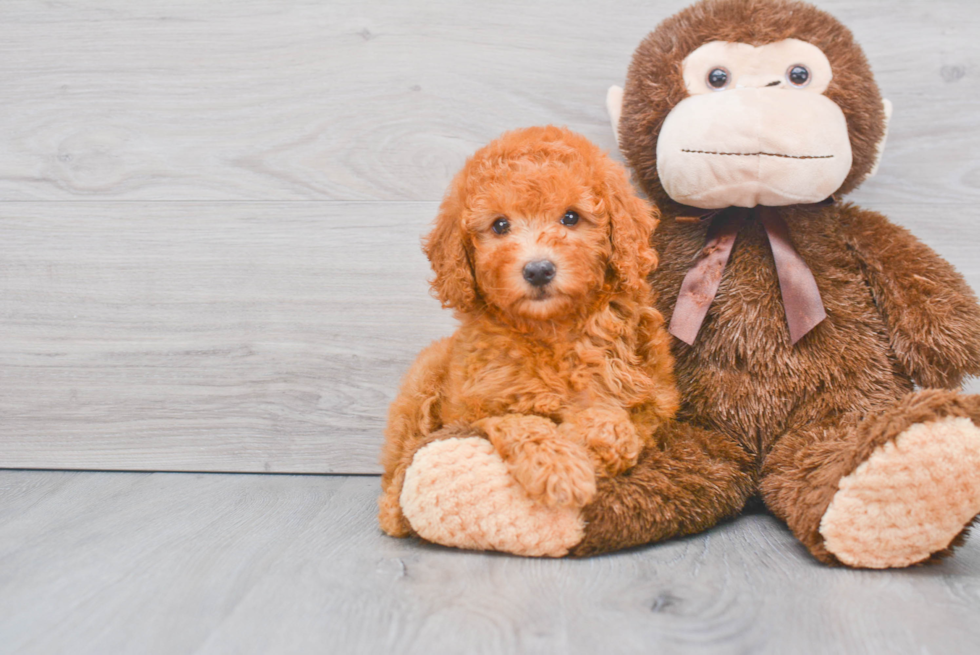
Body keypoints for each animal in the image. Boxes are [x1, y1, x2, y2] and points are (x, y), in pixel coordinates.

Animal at [378, 127, 676, 540]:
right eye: (500, 225)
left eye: (571, 217)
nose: (537, 270)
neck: (554, 329)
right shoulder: (475, 406)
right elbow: (520, 421)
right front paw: (560, 468)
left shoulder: (654, 398)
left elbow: (618, 419)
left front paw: (596, 439)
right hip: (422, 380)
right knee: (402, 457)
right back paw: (393, 508)